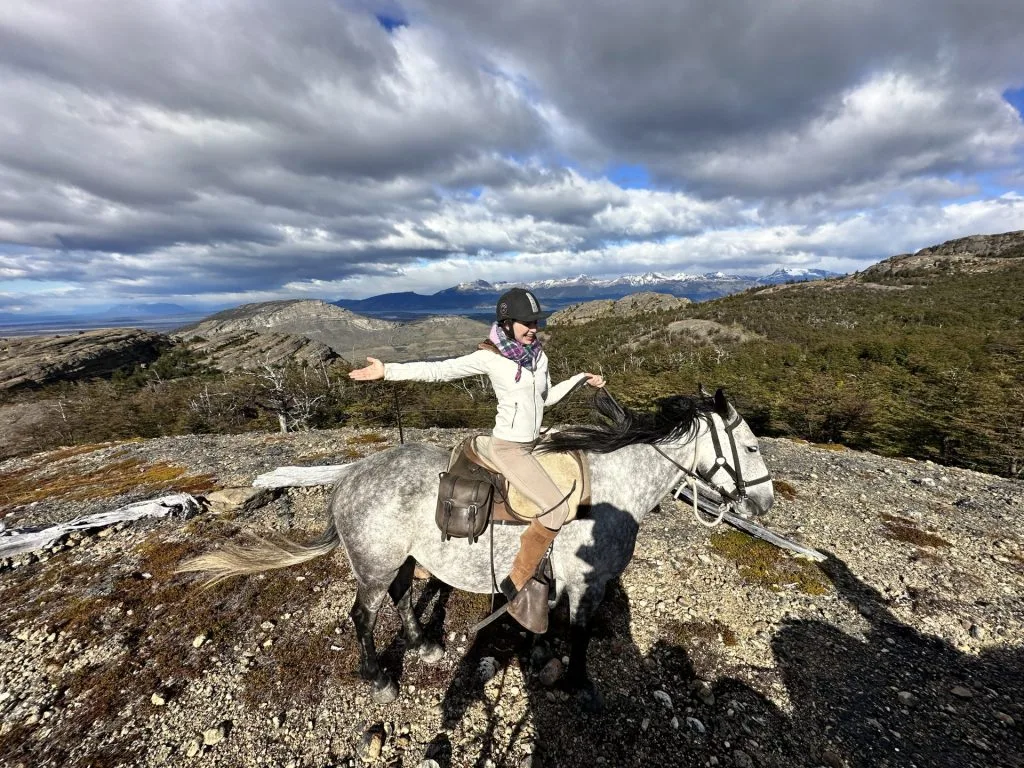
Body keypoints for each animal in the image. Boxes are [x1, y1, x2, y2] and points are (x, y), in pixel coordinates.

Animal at [184, 393, 770, 712]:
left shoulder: (560, 579)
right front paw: (580, 684)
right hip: (373, 566)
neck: (612, 491)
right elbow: (578, 634)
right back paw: (378, 678)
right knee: (363, 616)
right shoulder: (588, 583)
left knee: (403, 595)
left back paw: (424, 644)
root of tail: (348, 477)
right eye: (751, 445)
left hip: (406, 559)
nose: (763, 502)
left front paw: (539, 658)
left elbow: (547, 619)